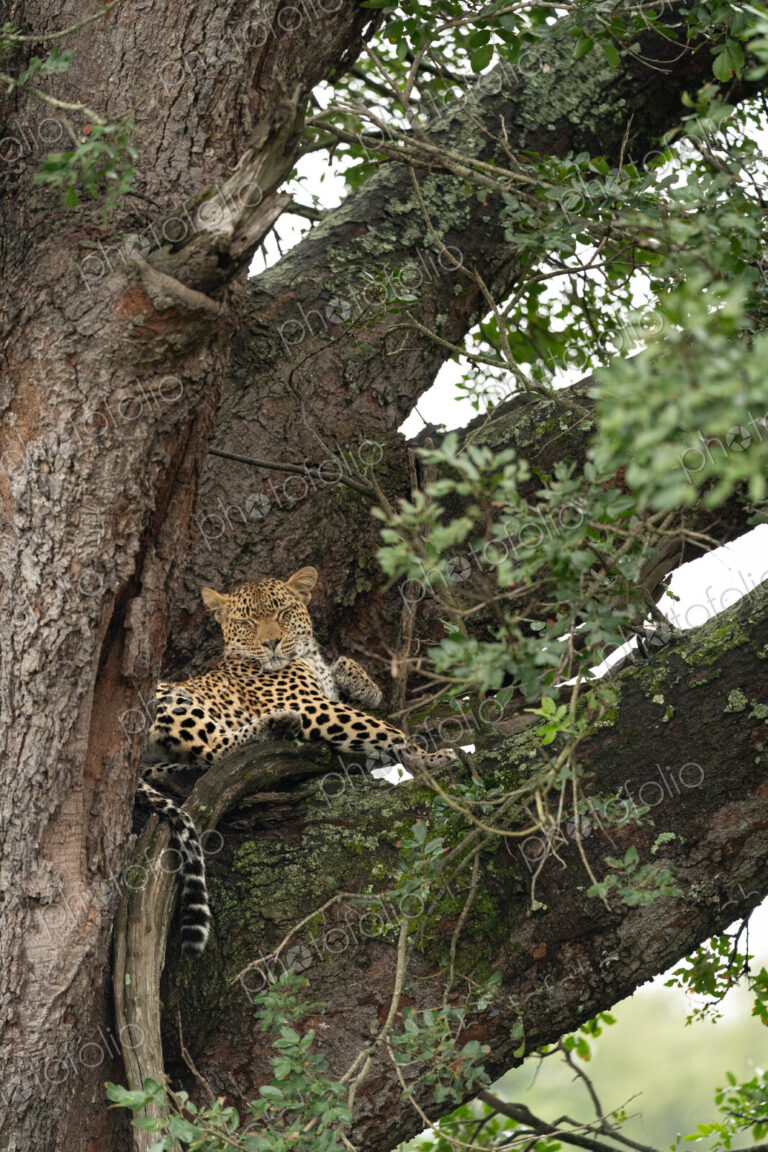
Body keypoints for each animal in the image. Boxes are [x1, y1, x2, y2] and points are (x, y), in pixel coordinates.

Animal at [137, 566, 457, 957]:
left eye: (282, 613)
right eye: (247, 622)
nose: (271, 643)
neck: (308, 657)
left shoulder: (325, 694)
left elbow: (346, 668)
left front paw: (364, 684)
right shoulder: (312, 707)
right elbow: (380, 728)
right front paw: (428, 756)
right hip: (173, 701)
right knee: (217, 746)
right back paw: (275, 725)